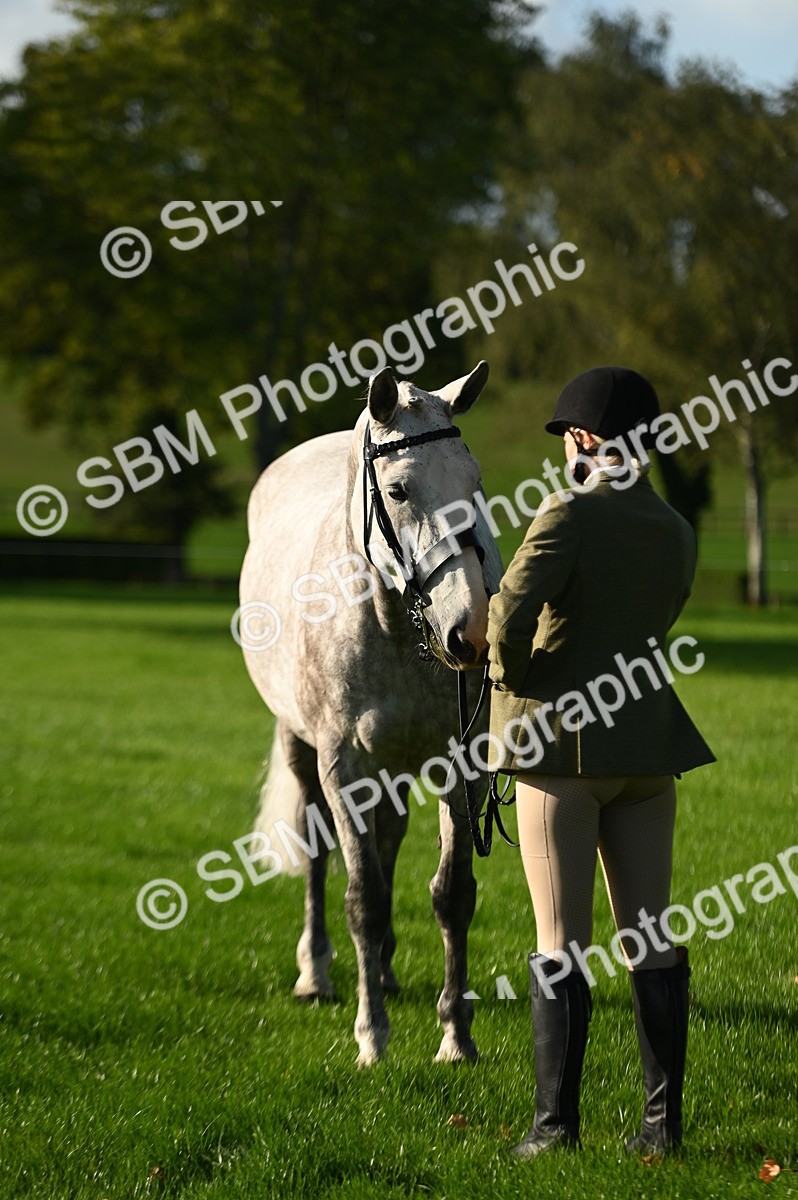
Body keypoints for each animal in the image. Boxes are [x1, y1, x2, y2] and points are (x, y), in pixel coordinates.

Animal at [239, 360, 503, 1065]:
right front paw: (372, 1039)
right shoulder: (344, 767)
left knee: (389, 838)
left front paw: (456, 1037)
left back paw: (380, 969)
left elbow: (452, 896)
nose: (471, 631)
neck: (393, 624)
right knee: (320, 851)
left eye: (474, 483)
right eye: (401, 490)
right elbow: (364, 898)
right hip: (302, 747)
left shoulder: (460, 763)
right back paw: (318, 974)